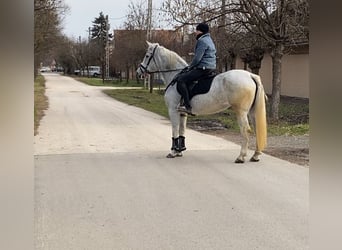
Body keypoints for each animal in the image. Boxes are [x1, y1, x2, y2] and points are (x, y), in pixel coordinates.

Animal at [136, 41, 268, 162]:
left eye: (147, 56)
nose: (139, 72)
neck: (175, 76)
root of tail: (250, 75)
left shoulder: (172, 110)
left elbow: (175, 129)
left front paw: (173, 152)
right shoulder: (182, 113)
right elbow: (181, 129)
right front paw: (180, 151)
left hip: (241, 112)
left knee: (245, 130)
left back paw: (241, 157)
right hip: (251, 112)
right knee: (257, 129)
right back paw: (255, 155)